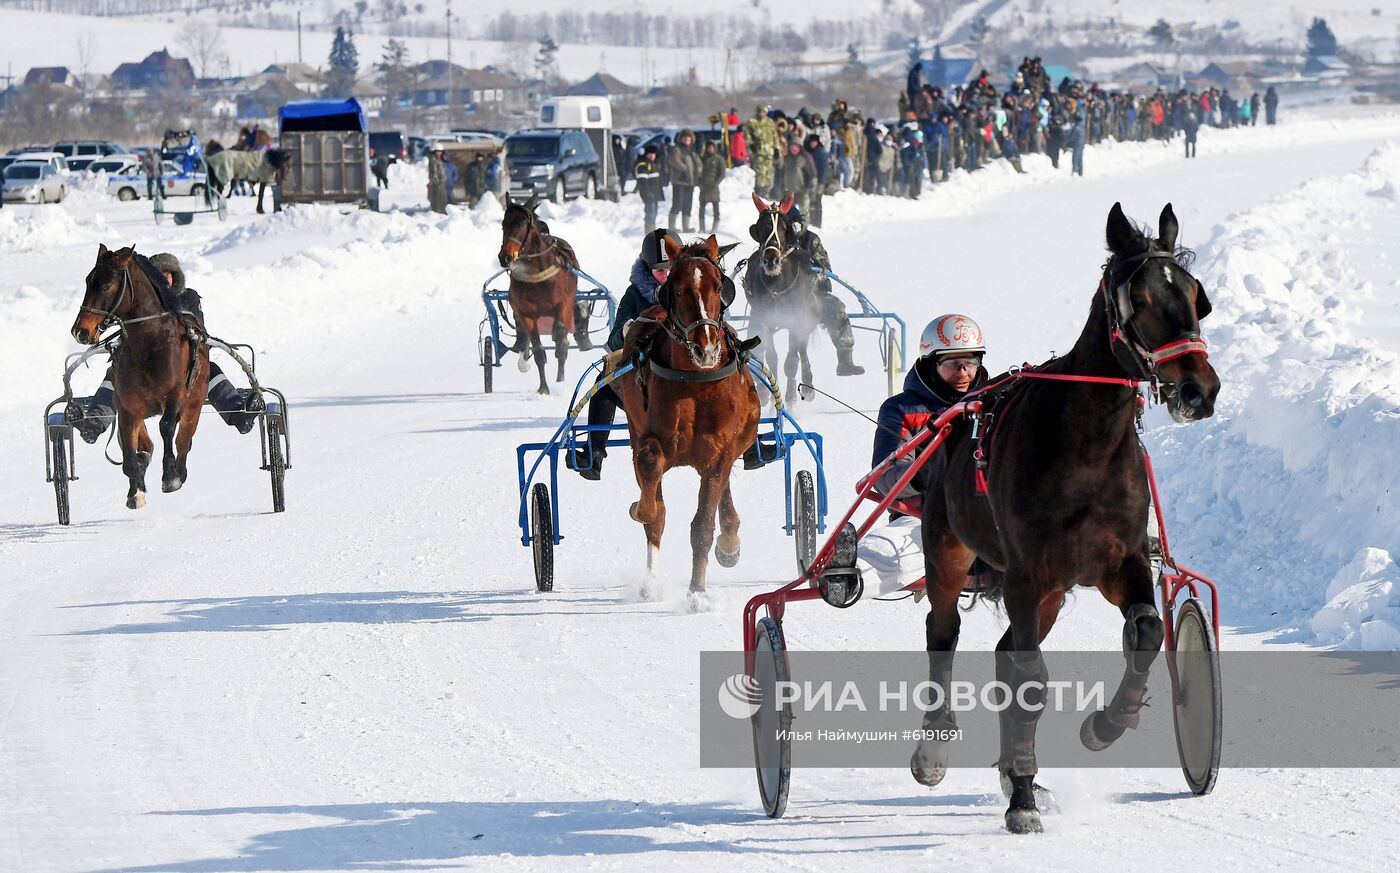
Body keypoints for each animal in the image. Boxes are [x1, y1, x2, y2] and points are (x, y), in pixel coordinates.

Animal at [69, 242, 208, 509]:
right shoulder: (127, 408)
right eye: (88, 280)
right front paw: (136, 491)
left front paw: (170, 476)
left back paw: (180, 470)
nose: (80, 331)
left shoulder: (175, 395)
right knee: (146, 446)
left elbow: (167, 426)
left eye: (106, 285)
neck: (149, 344)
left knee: (183, 441)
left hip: (195, 403)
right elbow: (128, 453)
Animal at [495, 194, 588, 394]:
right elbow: (538, 349)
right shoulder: (526, 313)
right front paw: (543, 388)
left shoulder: (562, 305)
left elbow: (560, 341)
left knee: (562, 338)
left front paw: (559, 383)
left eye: (523, 224)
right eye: (504, 224)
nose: (505, 257)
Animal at [618, 235, 761, 609]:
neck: (695, 379)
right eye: (678, 289)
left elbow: (703, 525)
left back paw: (729, 540)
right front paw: (642, 509)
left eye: (720, 287)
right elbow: (652, 492)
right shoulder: (650, 437)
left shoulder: (720, 450)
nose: (706, 348)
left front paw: (697, 592)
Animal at [744, 190, 817, 402]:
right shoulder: (764, 317)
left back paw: (807, 386)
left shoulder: (796, 318)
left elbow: (792, 360)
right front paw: (766, 391)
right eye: (760, 228)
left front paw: (791, 396)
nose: (771, 260)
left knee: (802, 350)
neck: (778, 285)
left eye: (784, 228)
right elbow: (772, 357)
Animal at [912, 202, 1220, 833]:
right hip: (951, 550)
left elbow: (1147, 631)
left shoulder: (1121, 562)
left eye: (1197, 297)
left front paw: (1104, 725)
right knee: (943, 629)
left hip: (1052, 594)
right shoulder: (1027, 572)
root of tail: (954, 415)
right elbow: (1030, 678)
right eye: (1140, 299)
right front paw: (1023, 800)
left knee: (1005, 651)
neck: (1085, 446)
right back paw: (938, 748)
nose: (1199, 390)